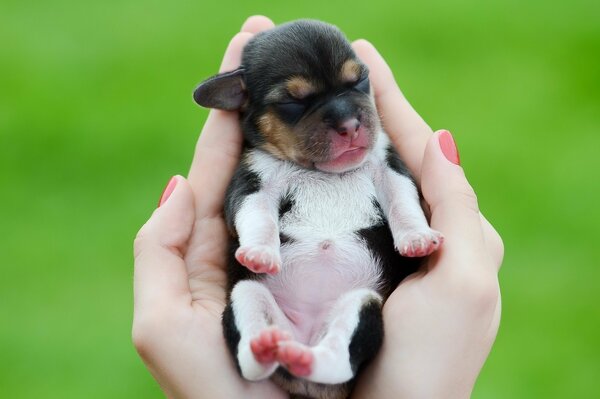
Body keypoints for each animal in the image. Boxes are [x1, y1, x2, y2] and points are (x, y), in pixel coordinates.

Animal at [195, 21, 442, 399]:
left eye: (360, 79)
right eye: (292, 100)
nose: (350, 125)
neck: (326, 173)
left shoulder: (388, 166)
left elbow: (403, 200)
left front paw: (417, 239)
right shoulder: (253, 181)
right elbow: (256, 214)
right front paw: (260, 253)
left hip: (361, 305)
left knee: (337, 357)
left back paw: (304, 357)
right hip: (246, 296)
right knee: (252, 362)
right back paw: (265, 348)